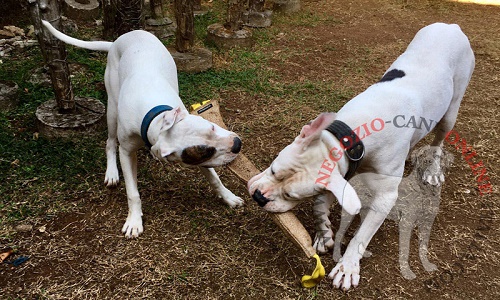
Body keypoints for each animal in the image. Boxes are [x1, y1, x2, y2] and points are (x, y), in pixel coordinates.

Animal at [44, 20, 243, 237]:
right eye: (205, 152)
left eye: (212, 127)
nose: (237, 145)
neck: (156, 118)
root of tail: (118, 40)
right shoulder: (126, 152)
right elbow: (132, 192)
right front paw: (134, 221)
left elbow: (214, 178)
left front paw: (228, 196)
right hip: (111, 109)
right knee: (110, 142)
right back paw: (112, 172)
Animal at [334, 145, 456, 282]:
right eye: (421, 155)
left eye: (437, 156)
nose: (427, 161)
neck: (426, 191)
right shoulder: (406, 224)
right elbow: (405, 250)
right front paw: (406, 272)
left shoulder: (427, 224)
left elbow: (423, 247)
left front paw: (426, 265)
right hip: (349, 214)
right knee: (339, 233)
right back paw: (337, 256)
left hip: (368, 214)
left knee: (358, 234)